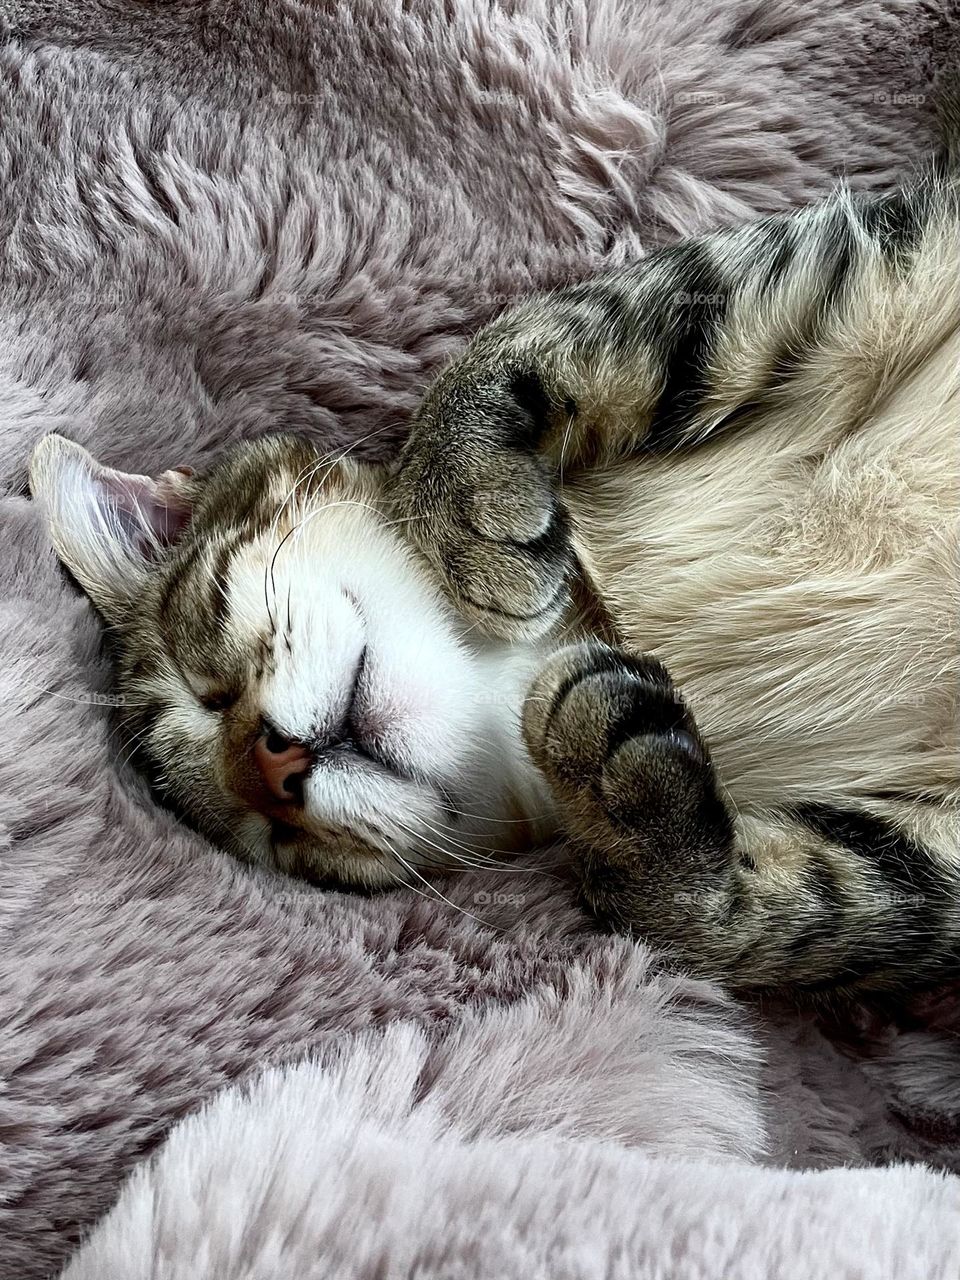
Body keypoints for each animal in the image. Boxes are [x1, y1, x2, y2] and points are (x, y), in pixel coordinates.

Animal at [30, 175, 960, 993]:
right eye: (273, 842)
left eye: (205, 680)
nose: (273, 764)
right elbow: (814, 918)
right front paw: (642, 823)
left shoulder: (840, 262)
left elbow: (536, 331)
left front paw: (467, 499)